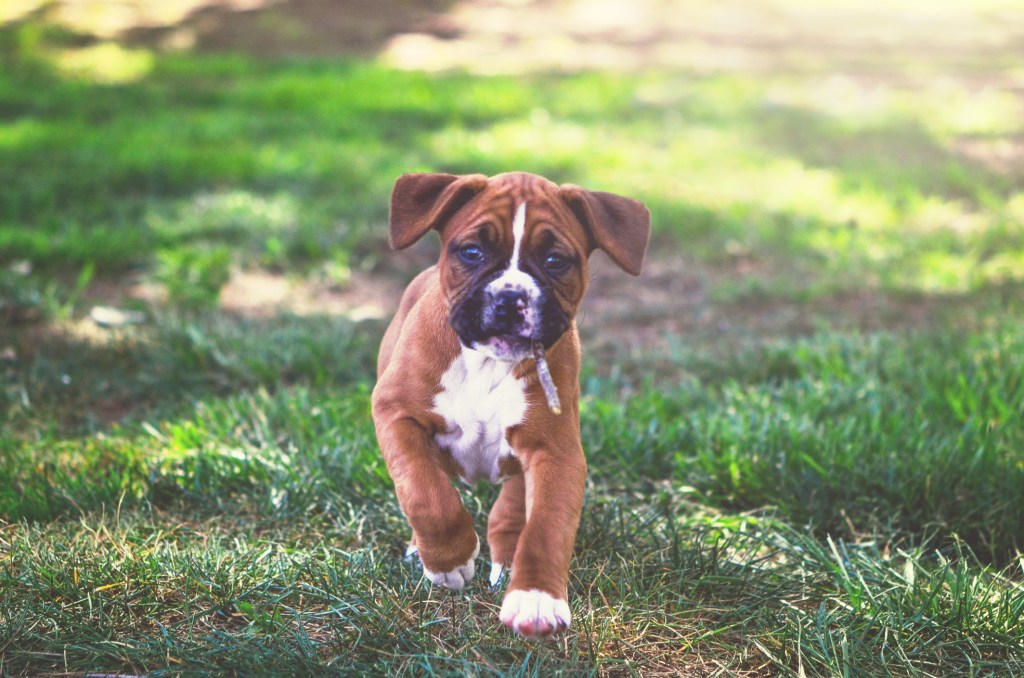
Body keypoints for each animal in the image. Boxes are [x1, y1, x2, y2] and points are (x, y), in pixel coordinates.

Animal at [372, 170, 651, 639]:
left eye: (555, 260)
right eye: (472, 251)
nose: (509, 298)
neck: (488, 363)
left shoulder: (554, 449)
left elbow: (545, 525)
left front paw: (535, 598)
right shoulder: (395, 413)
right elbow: (424, 491)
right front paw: (449, 559)